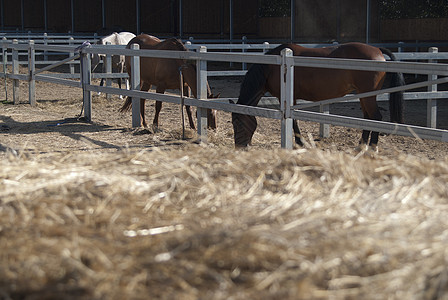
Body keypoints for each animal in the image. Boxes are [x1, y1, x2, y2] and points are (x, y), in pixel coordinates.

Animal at [231, 42, 406, 150]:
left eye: (237, 123)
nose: (239, 146)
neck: (272, 67)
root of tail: (377, 50)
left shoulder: (287, 98)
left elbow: (294, 121)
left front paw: (300, 142)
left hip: (368, 96)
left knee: (375, 117)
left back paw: (371, 148)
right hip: (364, 95)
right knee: (368, 118)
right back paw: (361, 145)